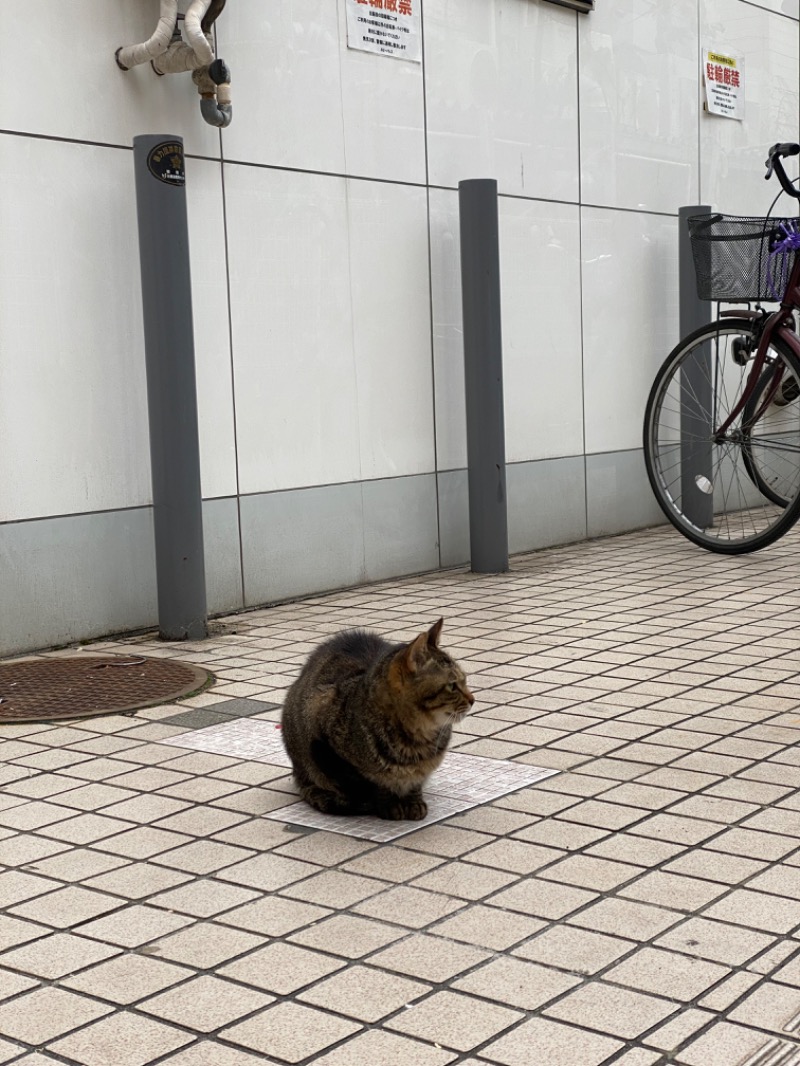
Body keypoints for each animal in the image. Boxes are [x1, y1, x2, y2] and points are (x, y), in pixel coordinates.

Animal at [281, 622, 473, 818]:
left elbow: (416, 780)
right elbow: (374, 782)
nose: (472, 700)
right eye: (452, 686)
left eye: (464, 681)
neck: (418, 739)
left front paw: (413, 801)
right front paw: (389, 803)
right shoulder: (320, 724)